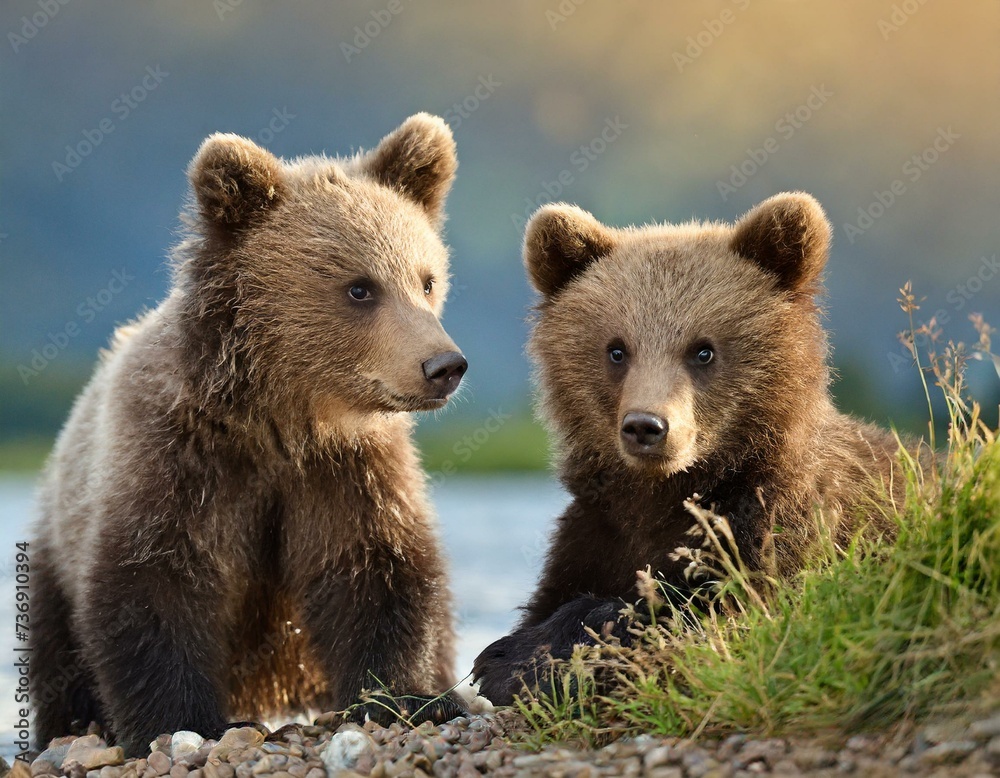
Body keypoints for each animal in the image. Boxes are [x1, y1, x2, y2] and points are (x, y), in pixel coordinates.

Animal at [30, 113, 469, 754]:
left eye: (428, 280)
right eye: (360, 287)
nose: (444, 366)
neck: (281, 418)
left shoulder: (348, 469)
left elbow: (377, 570)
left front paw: (412, 698)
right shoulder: (177, 455)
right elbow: (156, 582)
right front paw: (181, 720)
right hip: (53, 549)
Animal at [473, 192, 902, 705]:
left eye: (703, 350)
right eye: (616, 349)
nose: (646, 426)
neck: (665, 494)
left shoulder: (782, 525)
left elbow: (716, 609)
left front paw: (516, 658)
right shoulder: (597, 530)